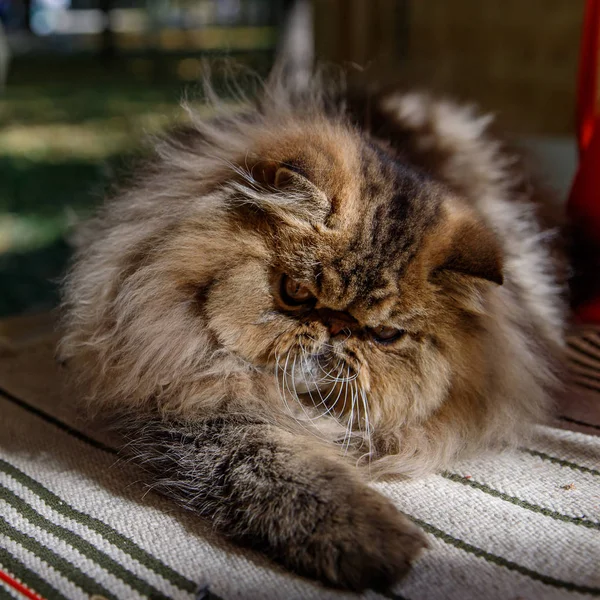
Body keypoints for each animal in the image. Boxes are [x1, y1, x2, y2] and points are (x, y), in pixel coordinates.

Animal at [61, 75, 568, 592]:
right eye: (296, 293)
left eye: (384, 334)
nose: (337, 326)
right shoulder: (186, 397)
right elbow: (269, 464)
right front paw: (370, 540)